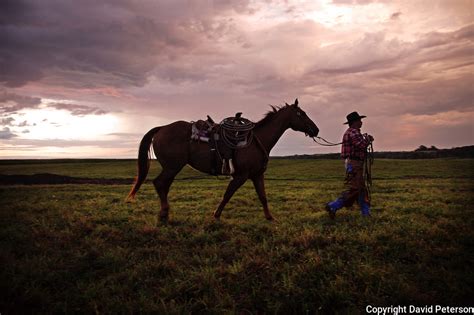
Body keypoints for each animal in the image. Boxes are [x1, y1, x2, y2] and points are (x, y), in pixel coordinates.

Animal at [126, 99, 318, 222]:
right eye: (300, 114)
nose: (315, 129)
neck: (256, 140)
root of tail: (161, 128)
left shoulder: (257, 175)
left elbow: (263, 196)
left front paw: (270, 217)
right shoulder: (240, 176)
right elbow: (228, 194)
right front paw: (216, 215)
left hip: (172, 168)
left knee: (163, 186)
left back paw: (164, 213)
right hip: (172, 167)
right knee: (159, 184)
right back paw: (164, 213)